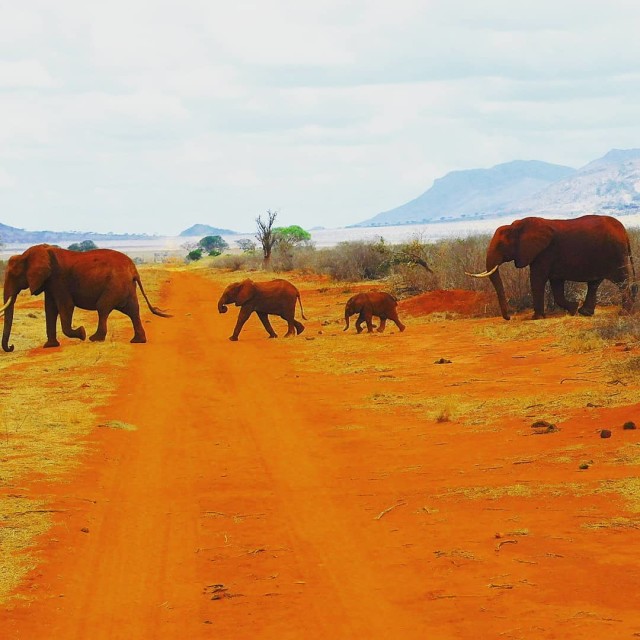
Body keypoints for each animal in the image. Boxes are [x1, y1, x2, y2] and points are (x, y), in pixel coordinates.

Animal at [0, 244, 171, 352]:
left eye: (14, 275)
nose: (12, 347)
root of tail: (134, 269)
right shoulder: (49, 282)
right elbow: (50, 309)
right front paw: (49, 346)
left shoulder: (58, 279)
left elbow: (66, 306)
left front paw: (81, 333)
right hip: (126, 286)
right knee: (133, 311)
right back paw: (137, 341)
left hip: (115, 284)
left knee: (103, 308)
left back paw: (95, 338)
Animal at [464, 215, 636, 320]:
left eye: (501, 245)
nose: (510, 317)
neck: (517, 226)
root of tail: (624, 231)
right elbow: (556, 284)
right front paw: (573, 309)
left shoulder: (544, 252)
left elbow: (537, 279)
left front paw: (536, 318)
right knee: (594, 283)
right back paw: (585, 312)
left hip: (616, 253)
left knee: (621, 281)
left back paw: (624, 313)